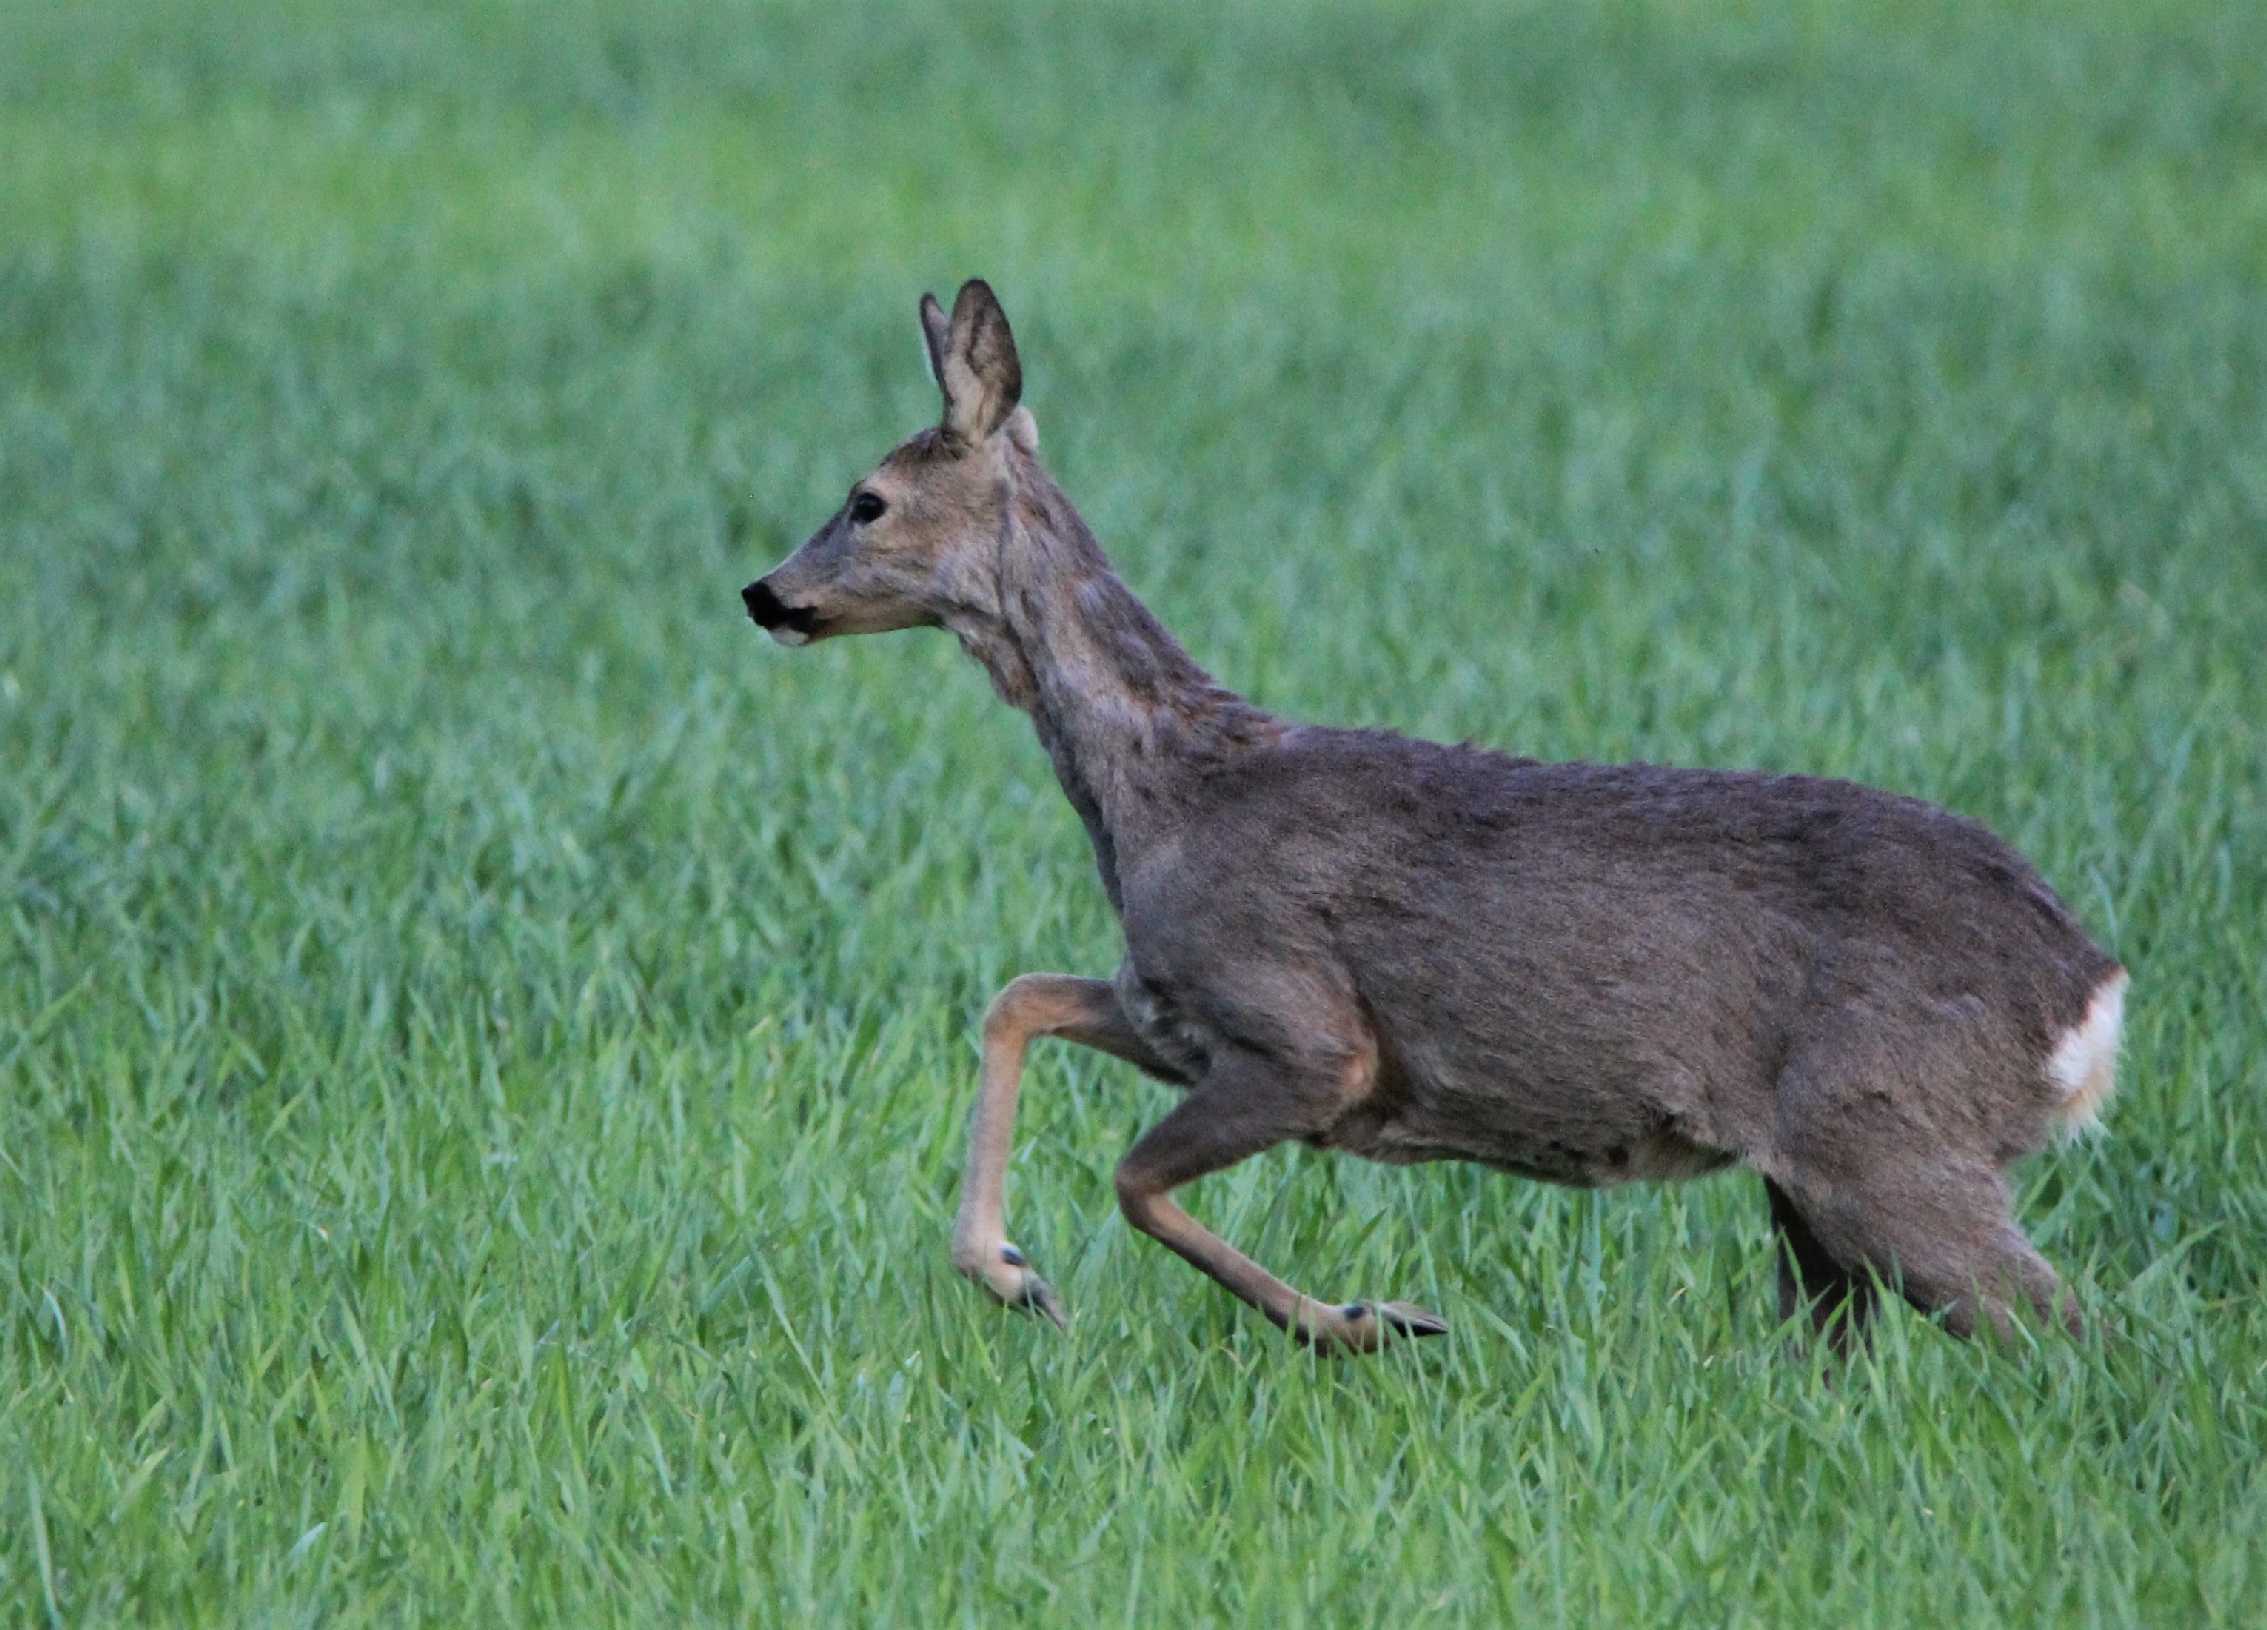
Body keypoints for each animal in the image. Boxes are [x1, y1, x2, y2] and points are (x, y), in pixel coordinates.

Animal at [739, 286, 2121, 1360]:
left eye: (865, 499)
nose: (763, 591)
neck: (1166, 795)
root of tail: (2088, 989)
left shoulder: (1304, 1031)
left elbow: (1133, 1181)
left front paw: (1362, 1321)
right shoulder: (1176, 1010)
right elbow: (1015, 996)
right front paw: (1010, 1272)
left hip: (1886, 1134)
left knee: (2072, 1333)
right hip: (1816, 1179)